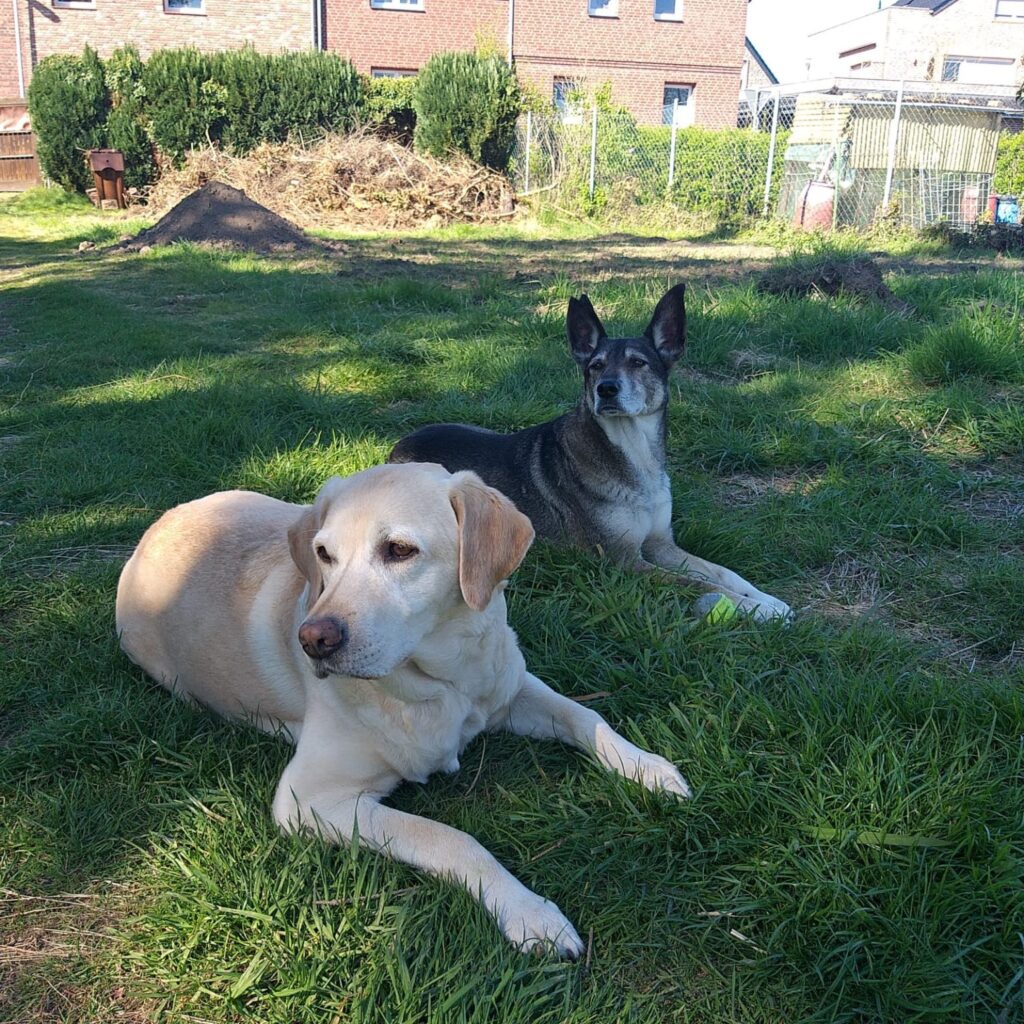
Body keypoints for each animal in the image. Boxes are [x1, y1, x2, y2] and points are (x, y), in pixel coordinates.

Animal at [391, 284, 790, 618]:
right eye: (596, 366)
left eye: (638, 362)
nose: (606, 388)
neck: (634, 455)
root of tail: (399, 446)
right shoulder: (623, 560)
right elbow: (697, 583)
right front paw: (758, 610)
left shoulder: (661, 544)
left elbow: (721, 571)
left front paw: (767, 599)